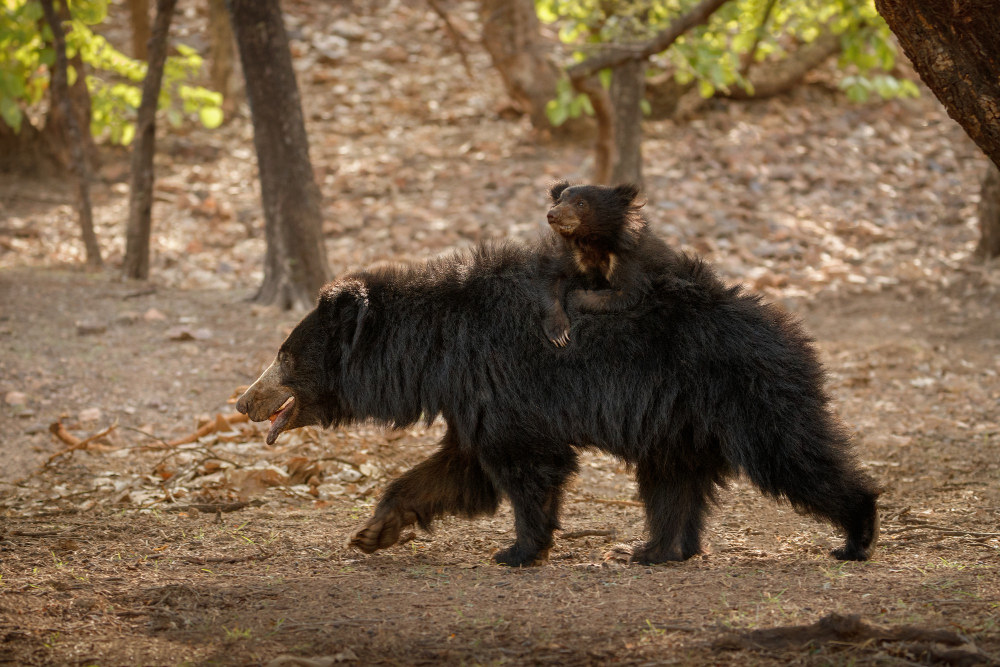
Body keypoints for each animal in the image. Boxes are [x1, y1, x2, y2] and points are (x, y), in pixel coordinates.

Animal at [236, 241, 880, 567]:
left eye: (284, 356)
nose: (243, 402)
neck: (436, 347)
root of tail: (792, 333)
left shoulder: (502, 380)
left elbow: (525, 464)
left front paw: (518, 549)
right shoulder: (471, 394)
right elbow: (457, 468)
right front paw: (374, 531)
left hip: (748, 395)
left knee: (794, 455)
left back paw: (855, 533)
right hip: (677, 422)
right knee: (672, 484)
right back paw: (654, 549)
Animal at [537, 181, 678, 347]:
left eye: (581, 203)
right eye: (559, 201)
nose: (552, 215)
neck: (591, 242)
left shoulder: (628, 260)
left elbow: (627, 293)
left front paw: (573, 298)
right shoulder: (571, 255)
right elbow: (553, 279)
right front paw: (559, 334)